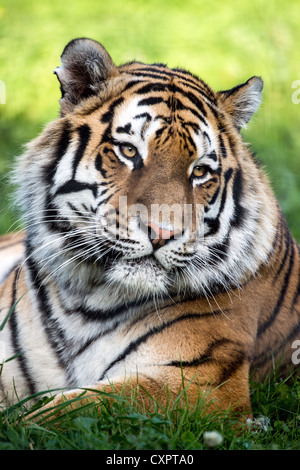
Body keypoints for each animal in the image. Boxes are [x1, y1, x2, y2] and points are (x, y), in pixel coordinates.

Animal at [0, 35, 298, 418]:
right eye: (128, 151)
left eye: (200, 171)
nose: (162, 233)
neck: (82, 303)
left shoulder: (199, 384)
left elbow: (68, 410)